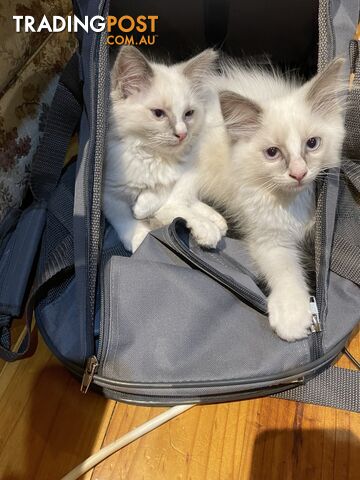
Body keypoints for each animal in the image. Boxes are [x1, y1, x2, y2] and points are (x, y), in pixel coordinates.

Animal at [200, 58, 346, 342]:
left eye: (312, 143)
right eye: (272, 153)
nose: (299, 173)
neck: (292, 200)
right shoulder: (268, 238)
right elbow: (285, 270)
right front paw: (293, 315)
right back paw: (207, 227)